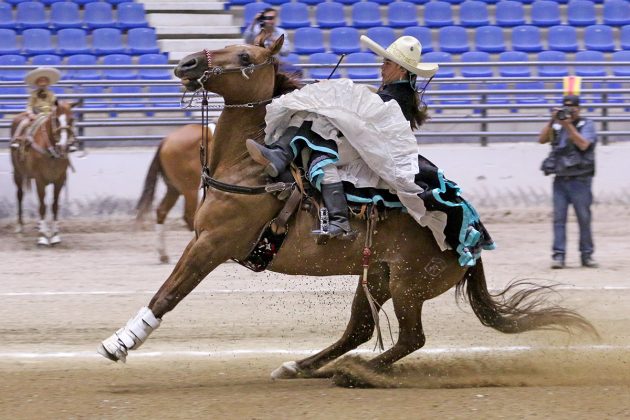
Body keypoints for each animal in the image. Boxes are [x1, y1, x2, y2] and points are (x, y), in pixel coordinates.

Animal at [10, 102, 77, 246]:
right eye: (56, 119)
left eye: (71, 119)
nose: (63, 146)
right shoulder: (40, 180)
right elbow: (42, 206)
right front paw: (42, 237)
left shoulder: (59, 180)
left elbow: (55, 206)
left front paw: (55, 235)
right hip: (18, 174)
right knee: (19, 196)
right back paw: (20, 227)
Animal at [135, 123, 211, 264]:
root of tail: (166, 141)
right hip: (190, 189)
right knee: (189, 216)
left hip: (174, 189)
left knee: (161, 211)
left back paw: (163, 254)